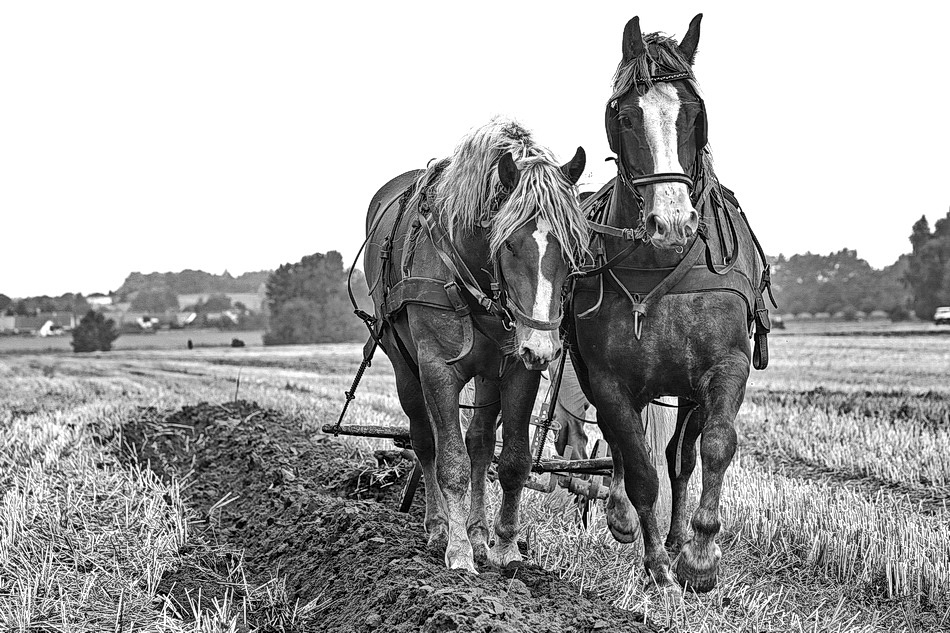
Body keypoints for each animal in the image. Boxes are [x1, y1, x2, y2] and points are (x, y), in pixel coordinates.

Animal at [364, 116, 588, 572]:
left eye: (571, 245)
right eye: (509, 243)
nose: (543, 347)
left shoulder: (518, 368)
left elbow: (512, 460)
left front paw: (505, 547)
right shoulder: (437, 367)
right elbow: (450, 461)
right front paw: (459, 551)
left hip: (489, 375)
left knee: (482, 444)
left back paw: (479, 533)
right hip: (404, 365)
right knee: (424, 439)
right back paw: (438, 528)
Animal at [568, 16, 768, 592]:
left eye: (695, 113)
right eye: (625, 115)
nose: (672, 223)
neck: (661, 265)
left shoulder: (724, 368)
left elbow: (714, 447)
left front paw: (699, 557)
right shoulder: (609, 379)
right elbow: (638, 467)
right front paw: (656, 562)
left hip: (685, 390)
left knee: (681, 456)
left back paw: (681, 539)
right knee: (623, 447)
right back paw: (621, 516)